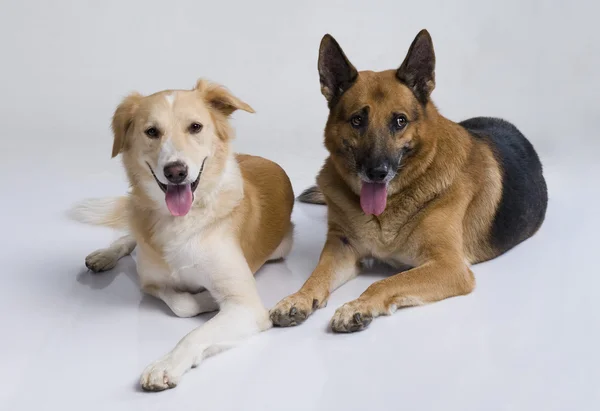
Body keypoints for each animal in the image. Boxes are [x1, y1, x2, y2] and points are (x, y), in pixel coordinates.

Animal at [71, 79, 296, 392]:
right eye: (152, 131)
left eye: (195, 127)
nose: (176, 171)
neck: (182, 221)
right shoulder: (149, 282)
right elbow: (181, 304)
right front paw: (204, 300)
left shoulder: (246, 305)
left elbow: (195, 331)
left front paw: (166, 364)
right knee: (131, 232)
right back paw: (105, 255)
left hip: (282, 248)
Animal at [270, 29, 548, 334]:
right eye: (357, 120)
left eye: (400, 121)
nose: (377, 172)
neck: (388, 210)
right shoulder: (342, 247)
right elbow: (316, 275)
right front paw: (298, 298)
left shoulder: (449, 266)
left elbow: (386, 282)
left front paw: (358, 306)